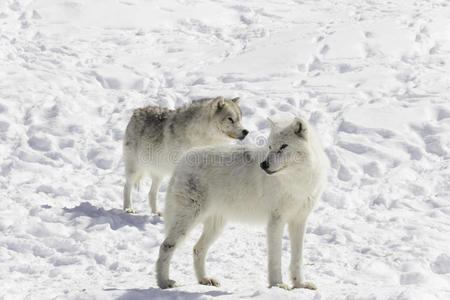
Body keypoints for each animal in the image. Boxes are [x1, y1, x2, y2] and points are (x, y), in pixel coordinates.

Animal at [156, 116, 328, 288]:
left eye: (283, 146)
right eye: (270, 146)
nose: (263, 165)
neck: (296, 182)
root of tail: (182, 161)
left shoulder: (299, 220)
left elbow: (297, 258)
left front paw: (300, 285)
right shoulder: (276, 221)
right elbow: (275, 257)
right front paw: (277, 284)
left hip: (216, 226)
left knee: (197, 249)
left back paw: (204, 279)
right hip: (188, 221)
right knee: (166, 246)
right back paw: (164, 282)